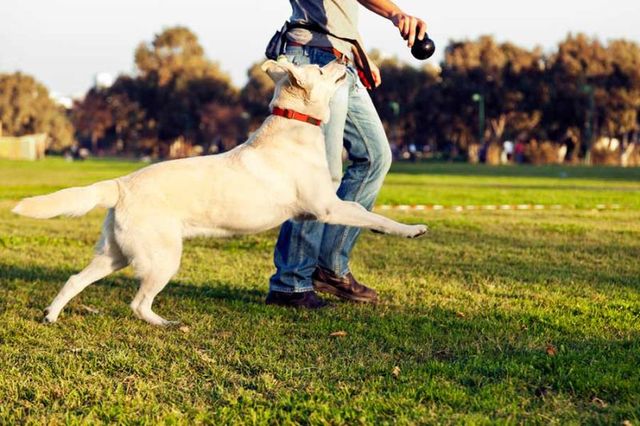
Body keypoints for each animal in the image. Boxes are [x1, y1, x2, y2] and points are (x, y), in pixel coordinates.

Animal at [12, 58, 428, 324]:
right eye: (322, 69)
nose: (344, 59)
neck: (294, 125)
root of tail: (120, 184)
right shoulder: (328, 207)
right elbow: (371, 215)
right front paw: (411, 229)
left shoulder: (323, 209)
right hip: (162, 258)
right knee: (138, 303)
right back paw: (165, 324)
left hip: (114, 255)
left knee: (74, 279)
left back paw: (51, 315)